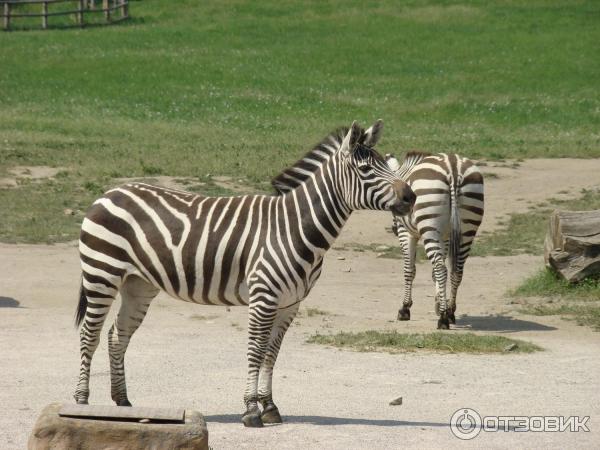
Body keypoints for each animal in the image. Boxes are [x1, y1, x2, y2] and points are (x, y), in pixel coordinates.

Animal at [72, 120, 414, 428]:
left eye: (385, 164)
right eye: (366, 169)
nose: (410, 196)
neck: (295, 227)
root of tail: (110, 191)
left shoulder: (290, 304)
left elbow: (272, 353)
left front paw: (270, 406)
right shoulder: (264, 296)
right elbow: (255, 350)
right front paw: (251, 409)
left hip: (138, 284)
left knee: (118, 334)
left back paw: (123, 402)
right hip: (102, 273)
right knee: (89, 334)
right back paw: (81, 402)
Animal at [386, 153, 486, 328]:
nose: (393, 229)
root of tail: (453, 166)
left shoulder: (406, 233)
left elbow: (409, 270)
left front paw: (405, 309)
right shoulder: (445, 237)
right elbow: (433, 273)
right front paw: (439, 304)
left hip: (430, 227)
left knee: (441, 269)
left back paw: (443, 320)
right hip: (468, 228)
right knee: (456, 271)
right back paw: (450, 312)